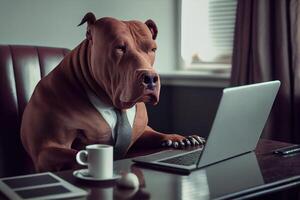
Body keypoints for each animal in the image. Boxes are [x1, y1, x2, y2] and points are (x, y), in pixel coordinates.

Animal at [20, 12, 204, 172]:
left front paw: (179, 138)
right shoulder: (48, 149)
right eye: (120, 48)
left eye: (153, 49)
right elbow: (75, 155)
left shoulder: (141, 131)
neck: (115, 105)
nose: (151, 78)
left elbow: (154, 133)